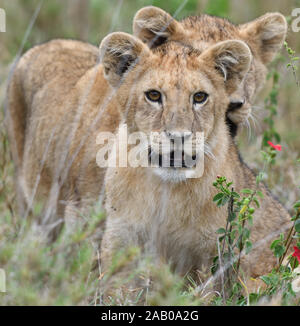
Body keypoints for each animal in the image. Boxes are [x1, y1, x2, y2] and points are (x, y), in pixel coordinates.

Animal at [99, 31, 292, 296]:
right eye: (153, 95)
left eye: (199, 97)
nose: (179, 136)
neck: (165, 192)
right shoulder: (121, 237)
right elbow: (115, 289)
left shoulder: (214, 252)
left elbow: (209, 294)